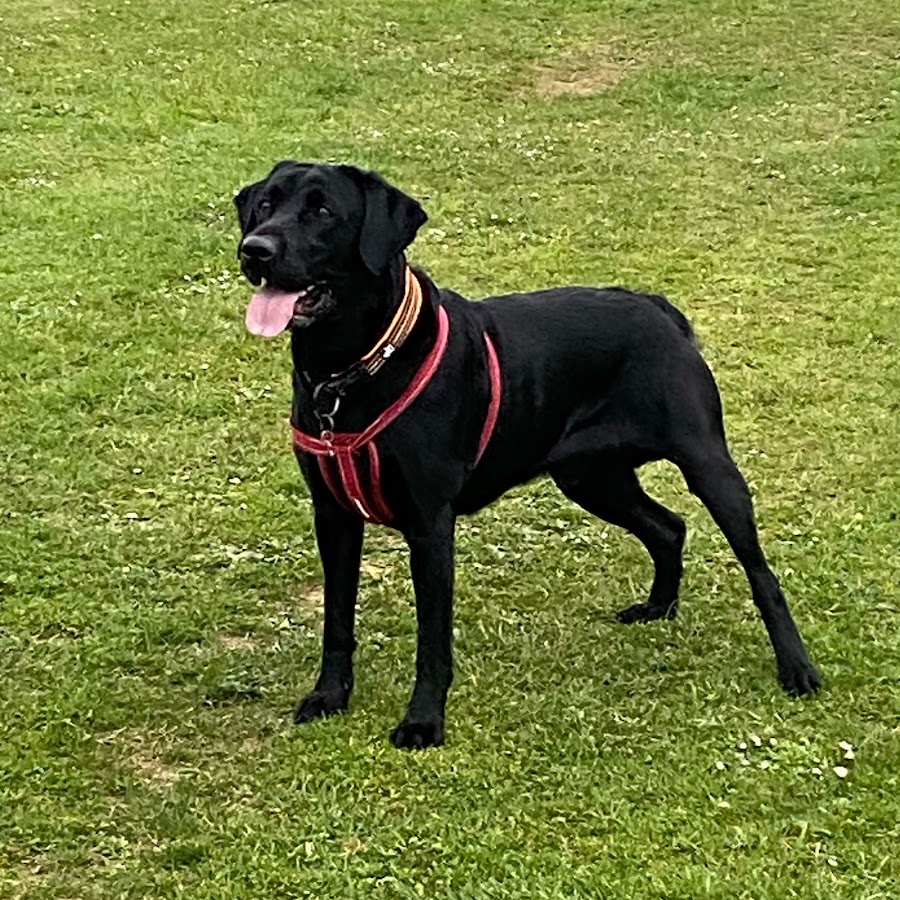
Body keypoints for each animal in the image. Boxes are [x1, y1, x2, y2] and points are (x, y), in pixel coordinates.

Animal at [234, 163, 824, 752]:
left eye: (323, 211)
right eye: (264, 205)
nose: (254, 249)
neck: (352, 367)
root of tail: (658, 308)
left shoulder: (430, 524)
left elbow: (432, 638)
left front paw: (423, 721)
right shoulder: (333, 515)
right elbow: (336, 619)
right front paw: (329, 696)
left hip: (707, 465)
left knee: (760, 574)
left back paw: (797, 668)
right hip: (591, 478)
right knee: (668, 526)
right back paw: (658, 607)